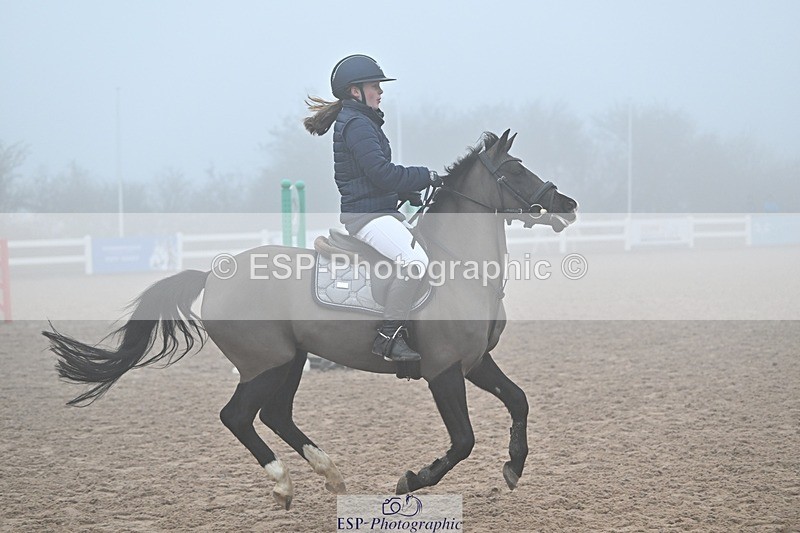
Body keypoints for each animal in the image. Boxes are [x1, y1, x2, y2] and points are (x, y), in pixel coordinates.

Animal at [45, 130, 578, 509]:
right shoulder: (444, 371)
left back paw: (332, 475)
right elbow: (463, 440)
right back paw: (283, 484)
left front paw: (514, 467)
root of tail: (214, 274)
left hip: (292, 360)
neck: (458, 266)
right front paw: (411, 480)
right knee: (238, 416)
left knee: (275, 415)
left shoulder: (475, 362)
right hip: (264, 363)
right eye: (515, 170)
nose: (567, 204)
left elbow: (519, 400)